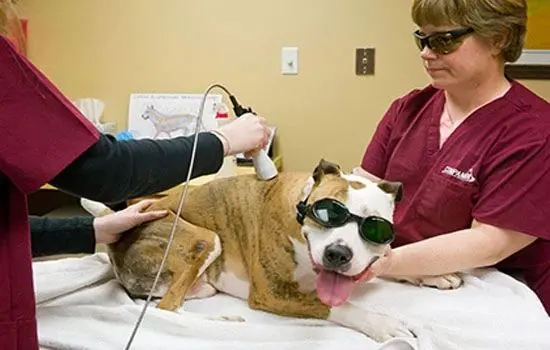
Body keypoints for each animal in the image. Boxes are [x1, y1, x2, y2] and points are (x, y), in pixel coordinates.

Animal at [81, 159, 462, 342]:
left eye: (374, 227)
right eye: (326, 212)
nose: (338, 254)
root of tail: (116, 236)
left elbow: (390, 263)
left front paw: (436, 275)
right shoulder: (272, 294)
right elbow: (336, 306)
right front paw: (382, 324)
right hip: (203, 237)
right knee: (166, 308)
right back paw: (223, 320)